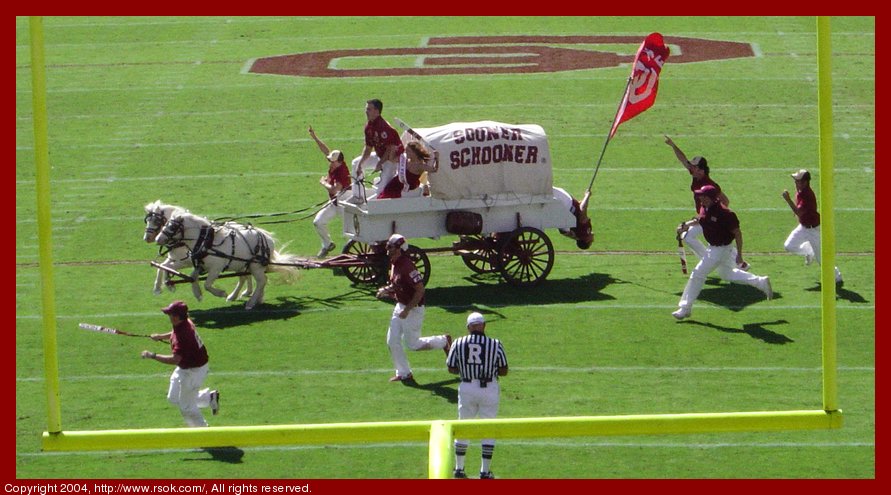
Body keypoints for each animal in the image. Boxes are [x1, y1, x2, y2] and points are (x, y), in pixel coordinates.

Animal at [155, 212, 302, 310]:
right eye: (165, 223)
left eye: (172, 227)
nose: (157, 239)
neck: (207, 241)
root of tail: (267, 238)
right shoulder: (200, 264)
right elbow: (192, 277)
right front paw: (197, 294)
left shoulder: (216, 268)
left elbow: (207, 284)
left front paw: (220, 293)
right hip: (242, 264)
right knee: (247, 279)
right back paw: (239, 296)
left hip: (256, 266)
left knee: (261, 281)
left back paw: (251, 302)